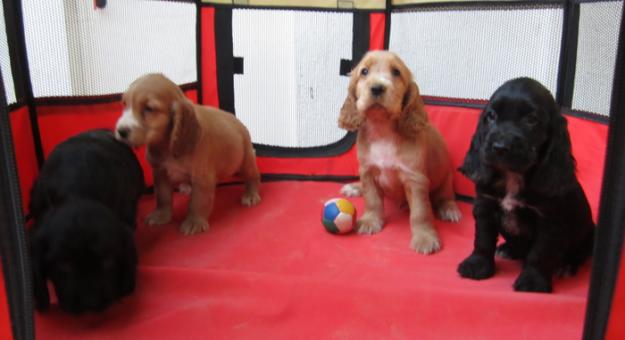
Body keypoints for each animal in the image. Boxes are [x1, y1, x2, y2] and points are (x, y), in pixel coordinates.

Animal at [114, 73, 258, 235]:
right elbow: (163, 197)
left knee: (252, 176)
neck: (168, 147)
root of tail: (237, 120)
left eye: (149, 108)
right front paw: (161, 215)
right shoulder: (160, 173)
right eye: (125, 104)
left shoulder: (202, 178)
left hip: (246, 159)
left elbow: (197, 201)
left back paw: (251, 195)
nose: (121, 131)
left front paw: (194, 222)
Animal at [338, 49, 460, 252]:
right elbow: (372, 199)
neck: (382, 129)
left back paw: (449, 208)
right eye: (364, 72)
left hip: (445, 178)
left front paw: (425, 237)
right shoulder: (367, 171)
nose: (377, 88)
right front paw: (370, 220)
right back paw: (354, 187)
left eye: (396, 72)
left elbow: (420, 212)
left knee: (445, 195)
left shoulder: (415, 179)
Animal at [458, 77, 596, 292]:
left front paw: (533, 281)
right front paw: (477, 265)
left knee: (579, 254)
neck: (512, 176)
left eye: (532, 119)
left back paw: (566, 266)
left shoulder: (549, 219)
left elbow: (540, 253)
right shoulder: (485, 206)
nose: (499, 147)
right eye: (491, 116)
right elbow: (483, 239)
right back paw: (508, 249)